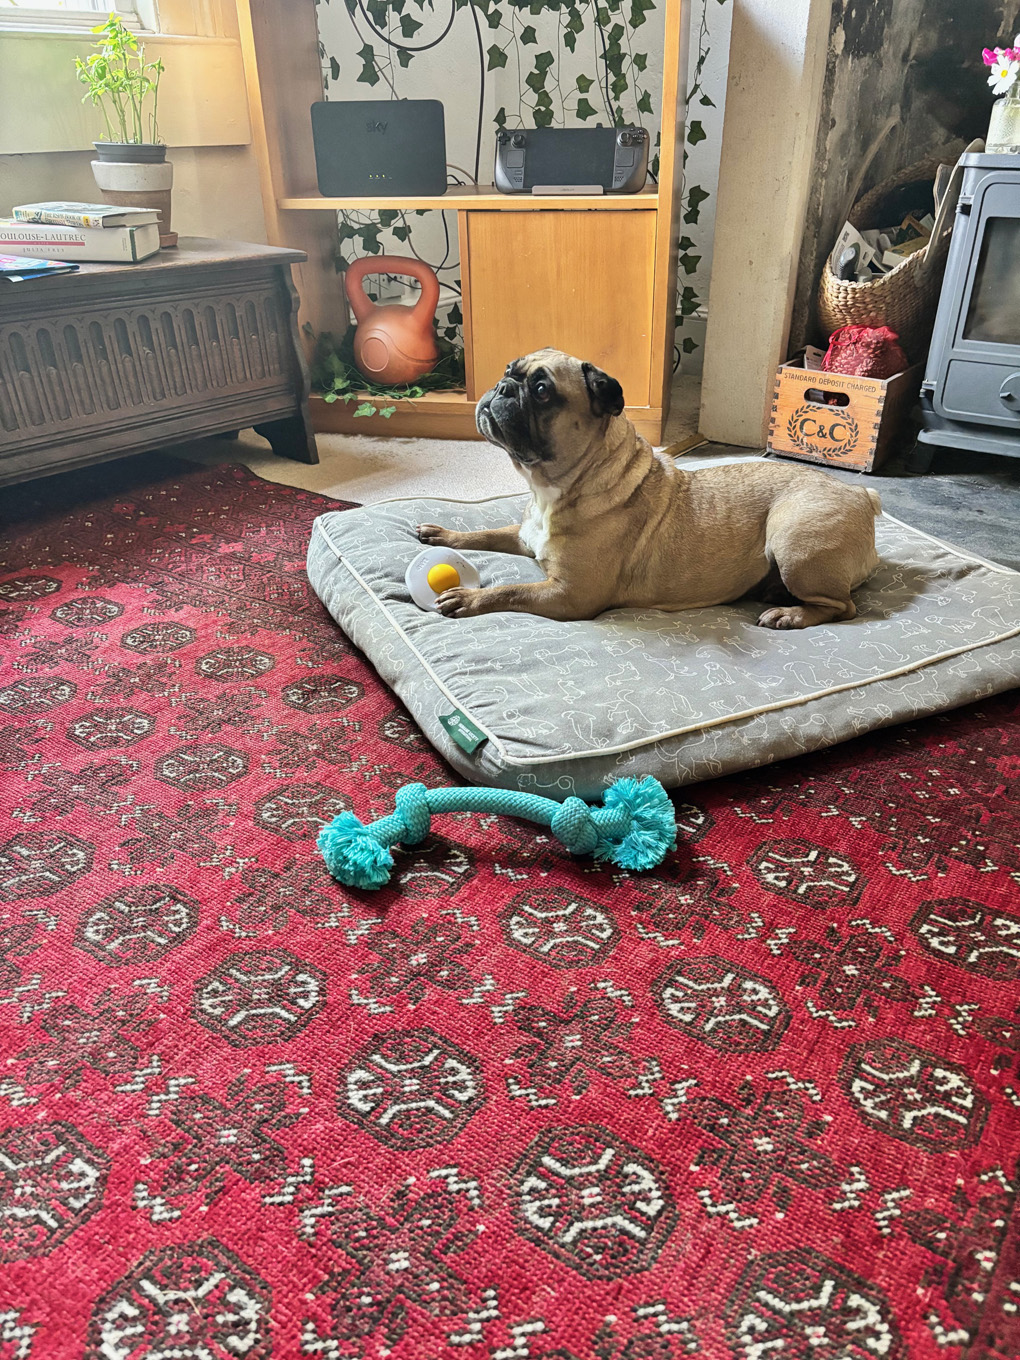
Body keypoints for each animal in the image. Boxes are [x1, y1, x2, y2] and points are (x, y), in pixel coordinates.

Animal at [418, 348, 881, 628]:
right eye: (507, 371)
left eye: (542, 391)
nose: (501, 387)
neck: (556, 487)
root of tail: (862, 496)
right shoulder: (523, 536)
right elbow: (484, 534)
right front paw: (443, 534)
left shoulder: (569, 596)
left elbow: (511, 590)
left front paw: (468, 599)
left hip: (794, 543)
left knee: (843, 607)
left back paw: (789, 614)